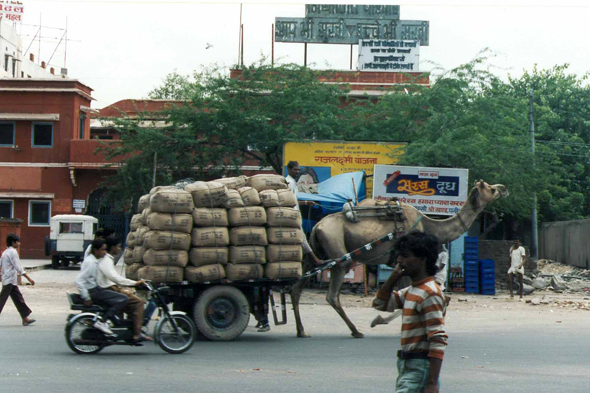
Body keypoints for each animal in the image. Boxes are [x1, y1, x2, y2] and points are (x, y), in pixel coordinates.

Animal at [290, 180, 508, 336]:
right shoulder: (406, 263)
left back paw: (302, 331)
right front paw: (380, 320)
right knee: (332, 295)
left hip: (314, 254)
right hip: (339, 255)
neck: (430, 226)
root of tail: (317, 226)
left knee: (296, 287)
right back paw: (355, 331)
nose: (503, 188)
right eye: (489, 188)